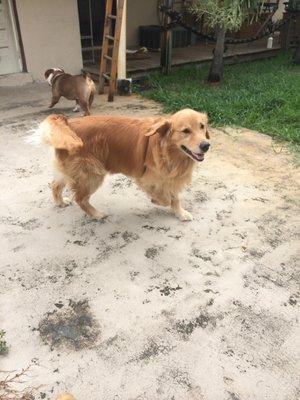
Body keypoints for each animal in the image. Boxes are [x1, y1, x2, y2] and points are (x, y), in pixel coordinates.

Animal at [28, 109, 211, 220]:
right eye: (186, 131)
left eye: (202, 127)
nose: (206, 145)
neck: (169, 151)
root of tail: (68, 124)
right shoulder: (146, 179)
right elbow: (165, 198)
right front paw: (157, 201)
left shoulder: (169, 177)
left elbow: (175, 197)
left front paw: (181, 213)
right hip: (92, 174)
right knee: (80, 198)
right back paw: (96, 214)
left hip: (71, 171)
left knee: (55, 184)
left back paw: (60, 202)